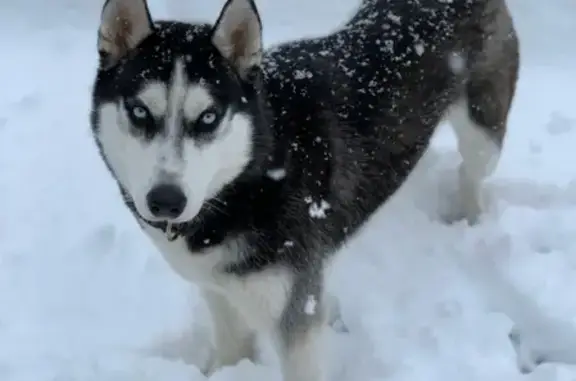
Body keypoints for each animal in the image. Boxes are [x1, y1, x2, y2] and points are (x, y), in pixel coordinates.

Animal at [91, 0, 520, 378]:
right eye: (140, 111)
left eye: (209, 117)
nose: (166, 201)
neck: (252, 176)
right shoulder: (218, 291)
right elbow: (231, 349)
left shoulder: (295, 312)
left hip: (484, 132)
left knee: (472, 170)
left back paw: (467, 216)